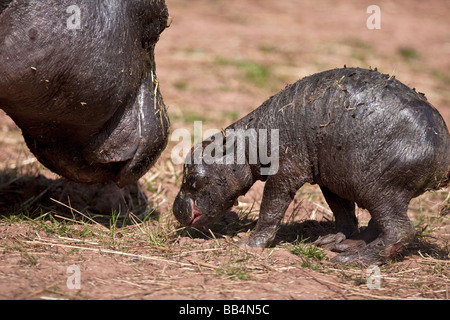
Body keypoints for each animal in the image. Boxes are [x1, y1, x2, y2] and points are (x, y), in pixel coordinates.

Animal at [175, 67, 450, 264]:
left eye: (192, 177)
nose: (175, 210)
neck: (246, 142)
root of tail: (444, 152)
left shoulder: (285, 173)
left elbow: (270, 209)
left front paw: (248, 244)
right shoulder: (332, 179)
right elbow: (343, 212)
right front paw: (331, 239)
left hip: (380, 187)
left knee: (400, 231)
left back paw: (349, 260)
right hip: (372, 187)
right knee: (377, 224)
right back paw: (340, 246)